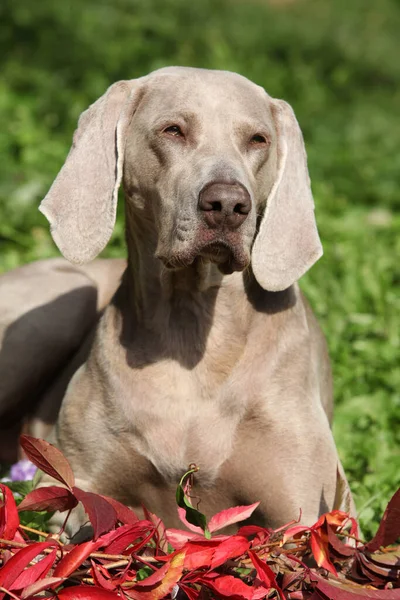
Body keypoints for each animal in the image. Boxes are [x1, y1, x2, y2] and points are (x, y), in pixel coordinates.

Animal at [0, 68, 356, 532]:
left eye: (258, 139)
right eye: (173, 130)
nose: (228, 204)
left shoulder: (314, 510)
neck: (192, 330)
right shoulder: (76, 484)